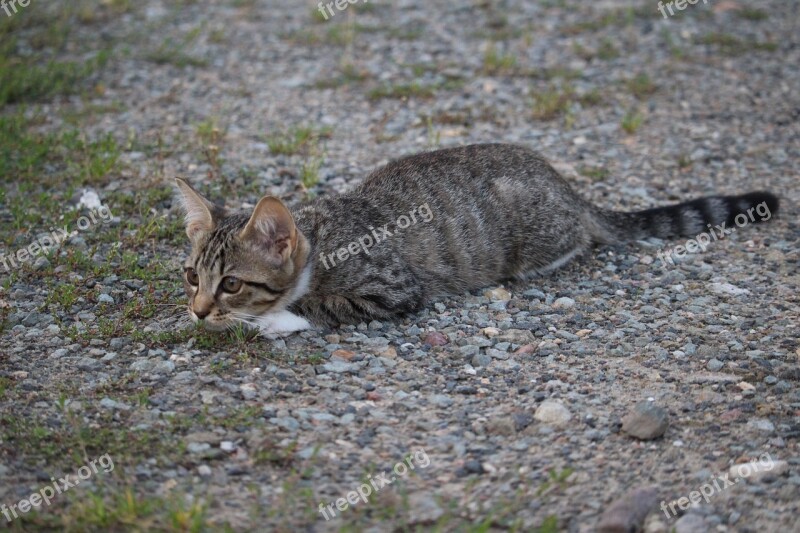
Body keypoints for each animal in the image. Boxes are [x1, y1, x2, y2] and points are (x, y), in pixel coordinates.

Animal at [177, 141, 780, 332]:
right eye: (191, 277)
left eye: (231, 284)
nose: (199, 311)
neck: (319, 238)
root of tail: (565, 186)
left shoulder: (393, 288)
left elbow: (320, 305)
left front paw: (272, 320)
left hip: (532, 234)